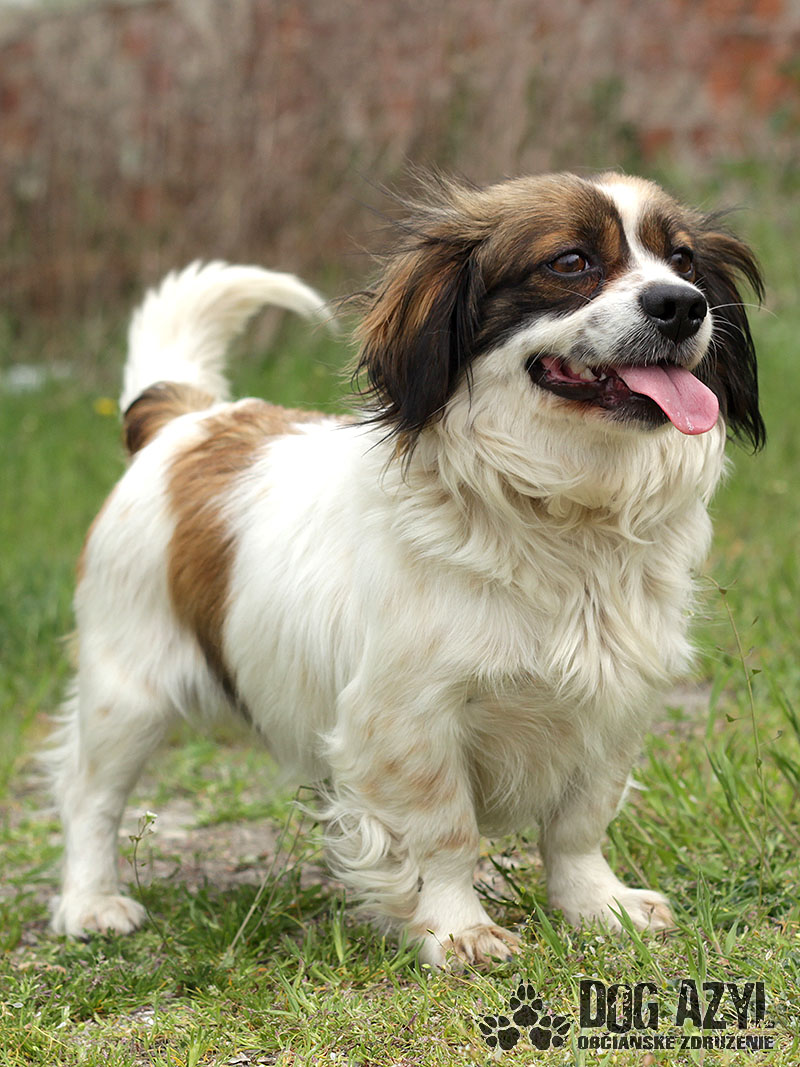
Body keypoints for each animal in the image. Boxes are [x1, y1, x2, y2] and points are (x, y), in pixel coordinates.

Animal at [47, 172, 764, 968]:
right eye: (571, 262)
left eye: (684, 260)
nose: (682, 304)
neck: (563, 513)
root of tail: (186, 420)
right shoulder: (408, 721)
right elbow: (445, 834)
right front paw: (458, 930)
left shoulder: (615, 702)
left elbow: (580, 823)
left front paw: (597, 905)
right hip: (127, 691)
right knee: (88, 796)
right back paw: (90, 903)